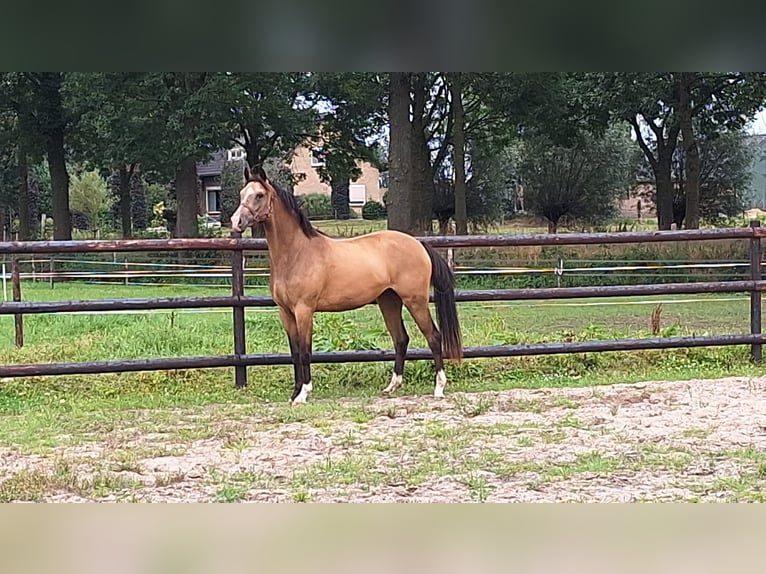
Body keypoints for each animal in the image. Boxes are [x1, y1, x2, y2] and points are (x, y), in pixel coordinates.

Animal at [231, 165, 464, 404]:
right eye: (242, 194)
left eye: (259, 195)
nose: (235, 221)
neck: (297, 253)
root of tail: (418, 244)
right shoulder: (285, 312)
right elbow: (294, 353)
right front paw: (294, 394)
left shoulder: (304, 310)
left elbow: (305, 351)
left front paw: (304, 393)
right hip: (389, 301)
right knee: (401, 339)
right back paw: (392, 387)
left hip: (415, 301)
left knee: (433, 337)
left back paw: (439, 388)